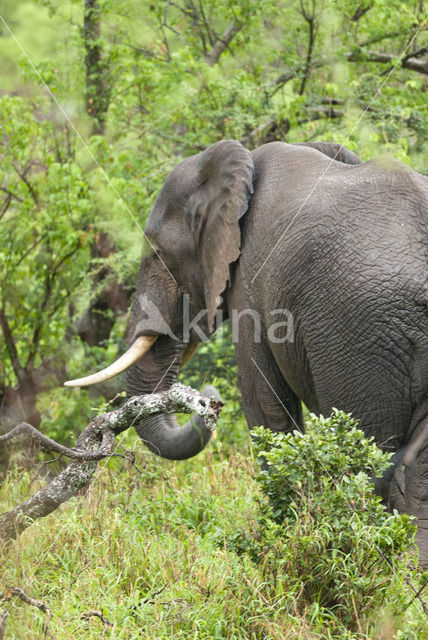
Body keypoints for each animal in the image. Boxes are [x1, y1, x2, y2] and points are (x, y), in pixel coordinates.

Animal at [67, 140, 428, 564]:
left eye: (155, 255)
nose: (207, 398)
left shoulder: (253, 285)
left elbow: (265, 405)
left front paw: (279, 542)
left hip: (361, 339)